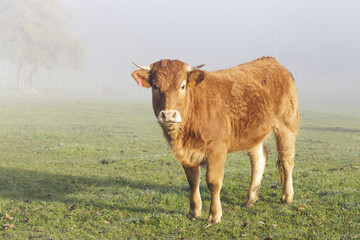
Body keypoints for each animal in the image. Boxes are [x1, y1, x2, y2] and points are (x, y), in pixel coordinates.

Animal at [131, 57, 300, 224]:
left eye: (182, 86)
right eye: (155, 86)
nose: (168, 115)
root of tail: (272, 61)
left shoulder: (217, 149)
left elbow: (213, 181)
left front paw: (214, 214)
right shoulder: (187, 154)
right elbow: (193, 180)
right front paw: (194, 210)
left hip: (286, 126)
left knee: (287, 160)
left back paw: (287, 196)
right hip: (253, 134)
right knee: (258, 159)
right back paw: (250, 198)